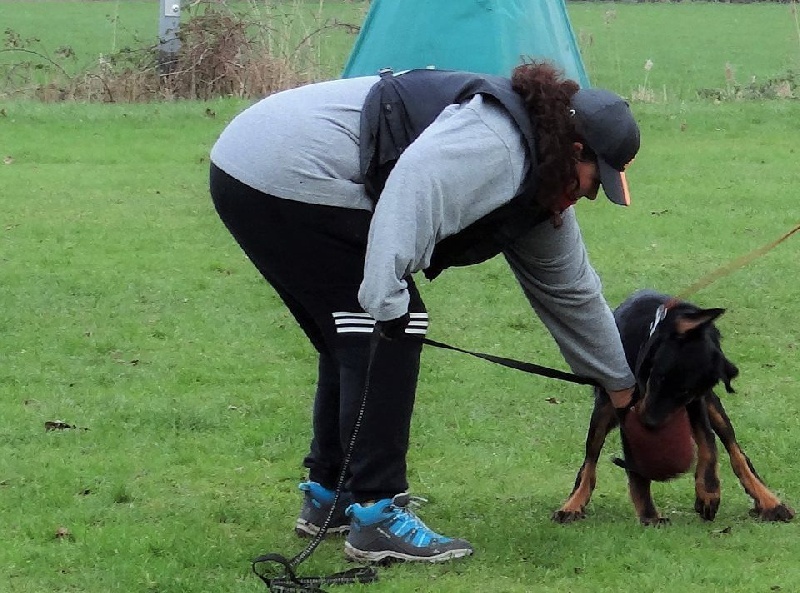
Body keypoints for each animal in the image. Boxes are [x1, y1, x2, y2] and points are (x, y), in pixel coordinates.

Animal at [556, 290, 792, 524]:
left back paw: (769, 501)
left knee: (737, 453)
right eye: (659, 377)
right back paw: (573, 504)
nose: (649, 424)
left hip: (714, 407)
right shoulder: (624, 405)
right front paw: (650, 516)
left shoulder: (697, 402)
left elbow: (708, 443)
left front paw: (708, 492)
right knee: (590, 459)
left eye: (686, 393)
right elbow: (633, 467)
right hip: (603, 408)